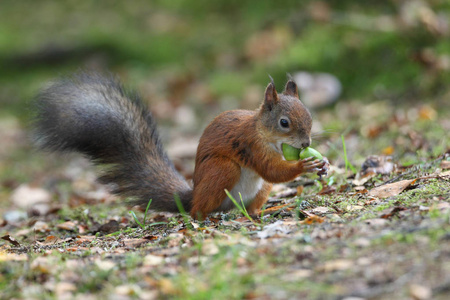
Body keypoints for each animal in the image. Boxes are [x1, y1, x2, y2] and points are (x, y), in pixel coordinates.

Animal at [33, 72, 326, 219]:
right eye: (284, 123)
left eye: (310, 116)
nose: (306, 143)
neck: (266, 136)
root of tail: (193, 195)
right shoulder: (251, 145)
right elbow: (271, 170)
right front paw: (305, 164)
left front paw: (323, 165)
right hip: (222, 170)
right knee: (198, 211)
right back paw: (206, 216)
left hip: (257, 190)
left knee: (250, 207)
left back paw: (264, 210)